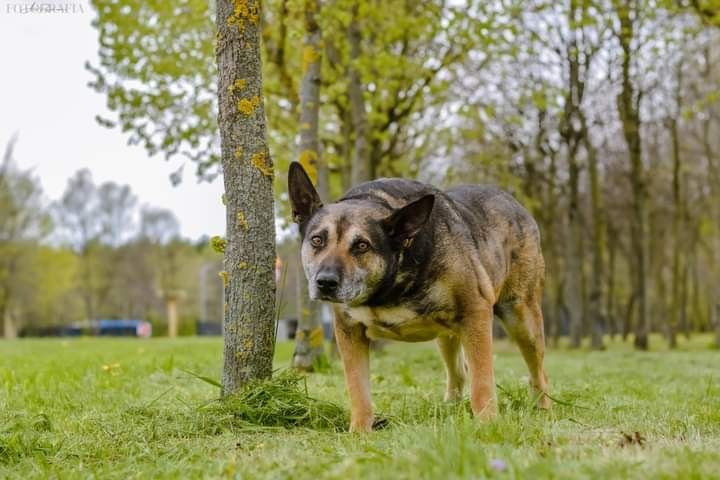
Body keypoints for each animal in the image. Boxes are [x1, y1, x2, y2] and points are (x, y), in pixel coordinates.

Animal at [286, 163, 552, 434]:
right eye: (317, 240)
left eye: (362, 246)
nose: (325, 282)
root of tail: (514, 202)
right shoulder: (349, 331)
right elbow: (357, 387)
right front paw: (360, 431)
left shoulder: (475, 313)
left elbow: (482, 381)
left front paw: (487, 424)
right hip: (447, 335)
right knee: (458, 371)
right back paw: (451, 408)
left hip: (522, 319)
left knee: (539, 372)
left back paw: (543, 409)